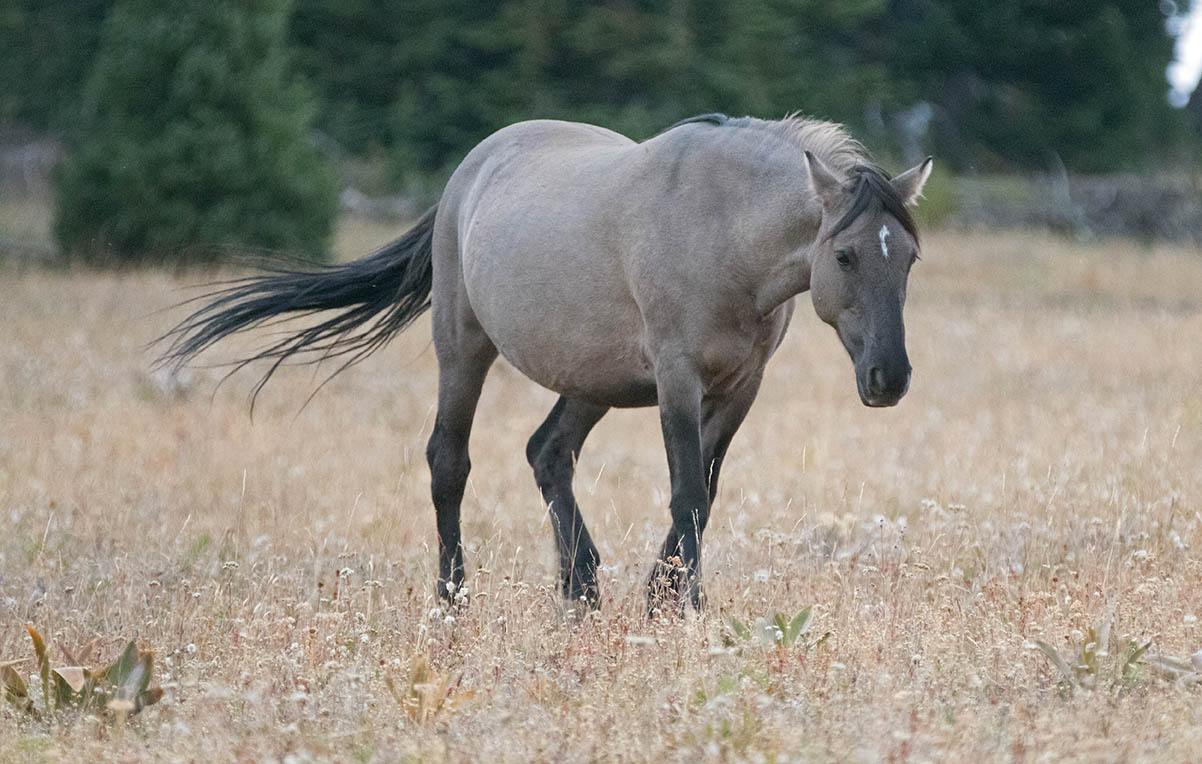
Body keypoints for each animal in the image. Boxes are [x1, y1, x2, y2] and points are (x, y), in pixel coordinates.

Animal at [157, 113, 927, 612]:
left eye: (910, 258)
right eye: (845, 255)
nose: (889, 379)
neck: (721, 230)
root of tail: (468, 172)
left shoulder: (739, 389)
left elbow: (704, 496)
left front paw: (660, 597)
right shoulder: (678, 380)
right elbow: (686, 492)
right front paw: (684, 606)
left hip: (593, 379)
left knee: (548, 453)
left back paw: (580, 590)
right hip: (464, 346)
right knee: (449, 461)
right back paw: (454, 599)